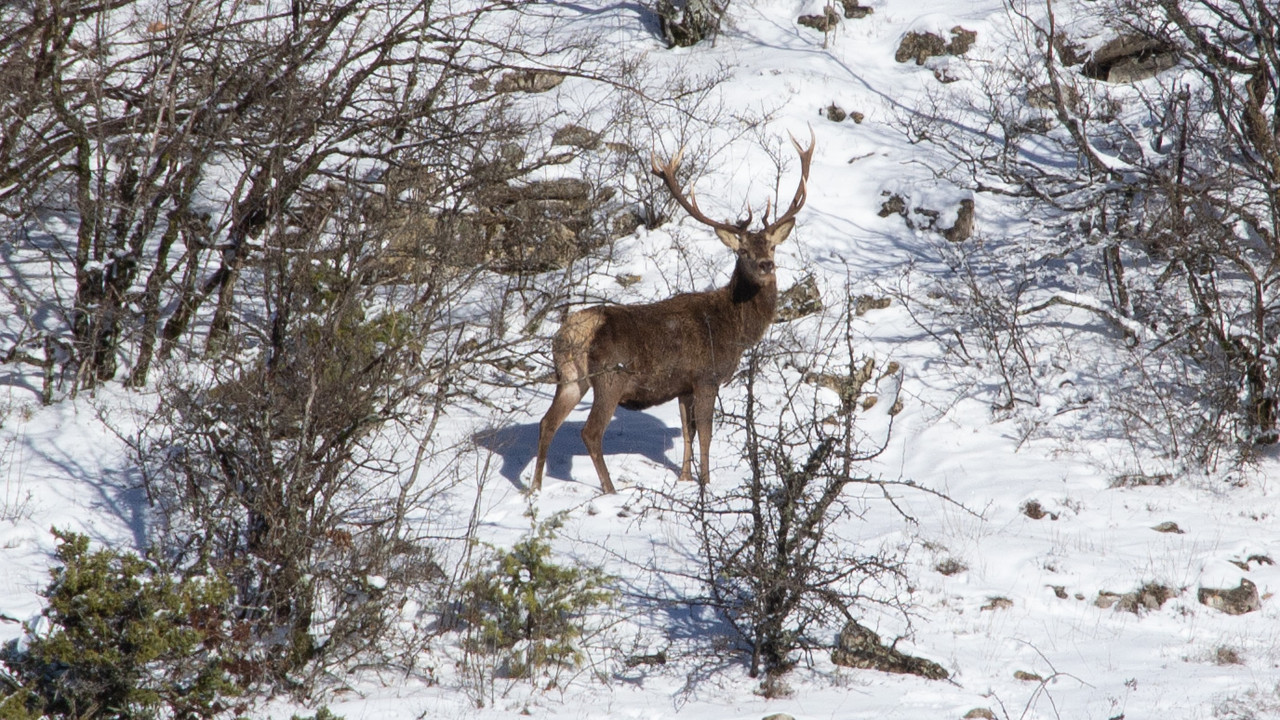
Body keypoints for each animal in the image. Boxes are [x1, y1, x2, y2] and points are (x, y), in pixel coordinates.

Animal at [532, 130, 819, 491]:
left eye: (772, 246)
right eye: (742, 252)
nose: (767, 264)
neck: (735, 330)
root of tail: (574, 331)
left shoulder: (683, 385)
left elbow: (687, 431)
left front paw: (684, 477)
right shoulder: (707, 375)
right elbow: (706, 433)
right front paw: (706, 484)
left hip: (570, 377)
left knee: (546, 423)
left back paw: (534, 489)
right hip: (611, 376)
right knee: (591, 432)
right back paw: (610, 490)